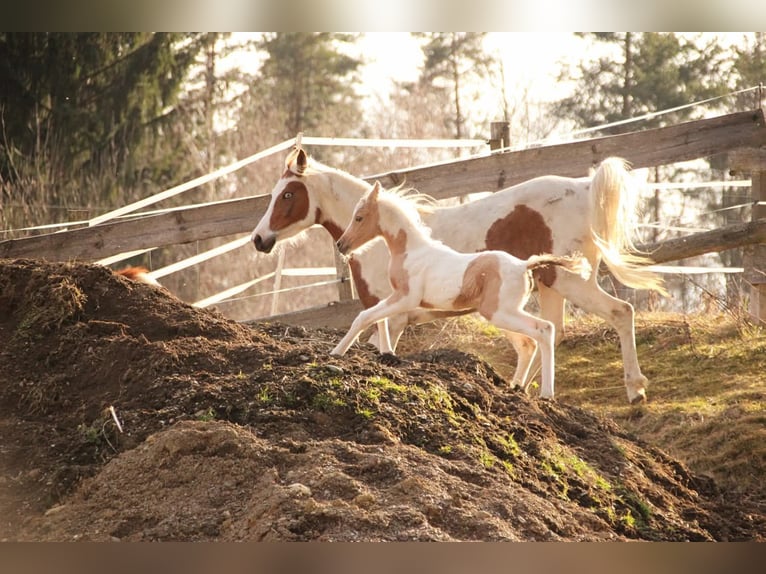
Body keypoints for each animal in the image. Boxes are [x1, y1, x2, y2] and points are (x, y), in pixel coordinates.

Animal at [331, 182, 591, 400]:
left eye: (359, 217)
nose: (341, 245)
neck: (411, 251)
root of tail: (523, 265)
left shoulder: (406, 298)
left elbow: (364, 316)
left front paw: (336, 353)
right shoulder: (398, 299)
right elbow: (379, 319)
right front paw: (387, 354)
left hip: (499, 313)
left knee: (544, 330)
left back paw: (546, 393)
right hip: (504, 314)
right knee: (531, 340)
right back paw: (518, 387)